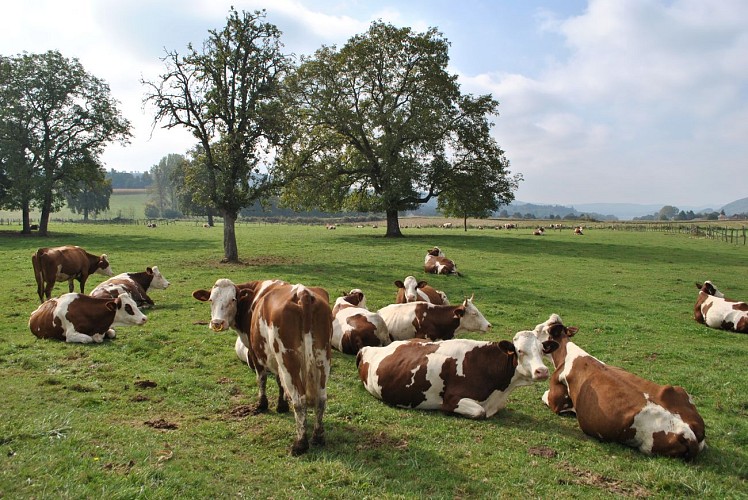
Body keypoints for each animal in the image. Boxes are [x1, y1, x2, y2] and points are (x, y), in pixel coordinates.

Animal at [191, 280, 332, 456]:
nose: (217, 323)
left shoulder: (255, 351)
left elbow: (262, 379)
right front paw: (281, 405)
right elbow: (279, 381)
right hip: (322, 358)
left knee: (300, 400)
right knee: (321, 398)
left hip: (288, 359)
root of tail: (302, 293)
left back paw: (300, 444)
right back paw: (318, 437)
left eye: (233, 299)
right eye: (211, 299)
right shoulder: (274, 358)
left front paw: (262, 404)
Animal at [536, 314, 704, 458]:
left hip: (647, 446)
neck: (566, 353)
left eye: (538, 330)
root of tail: (690, 433)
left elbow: (545, 396)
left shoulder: (557, 401)